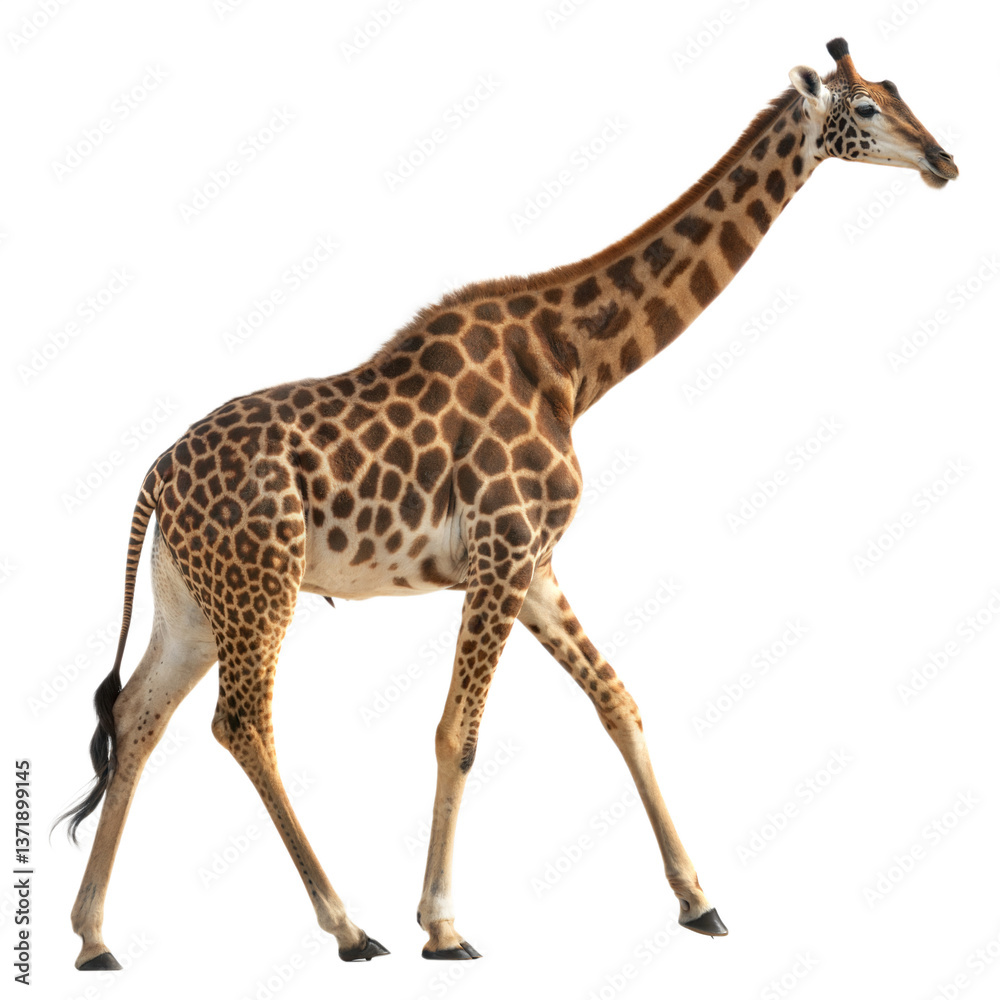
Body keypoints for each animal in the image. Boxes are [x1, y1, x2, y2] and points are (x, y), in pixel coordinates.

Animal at [59, 37, 957, 969]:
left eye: (899, 91)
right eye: (866, 108)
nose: (944, 160)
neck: (575, 365)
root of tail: (153, 477)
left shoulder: (535, 567)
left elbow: (619, 703)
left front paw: (699, 901)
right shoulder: (502, 550)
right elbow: (459, 734)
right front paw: (444, 926)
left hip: (195, 602)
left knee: (137, 715)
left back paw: (93, 937)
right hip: (262, 588)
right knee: (240, 725)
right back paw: (349, 927)